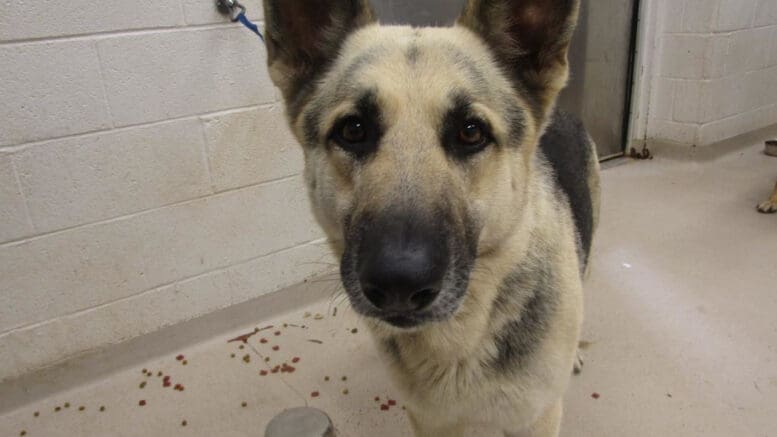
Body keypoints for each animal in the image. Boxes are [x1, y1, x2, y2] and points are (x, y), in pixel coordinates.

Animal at [262, 0, 600, 432]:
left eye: (471, 132)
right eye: (353, 129)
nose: (399, 285)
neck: (459, 341)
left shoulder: (536, 419)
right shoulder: (428, 421)